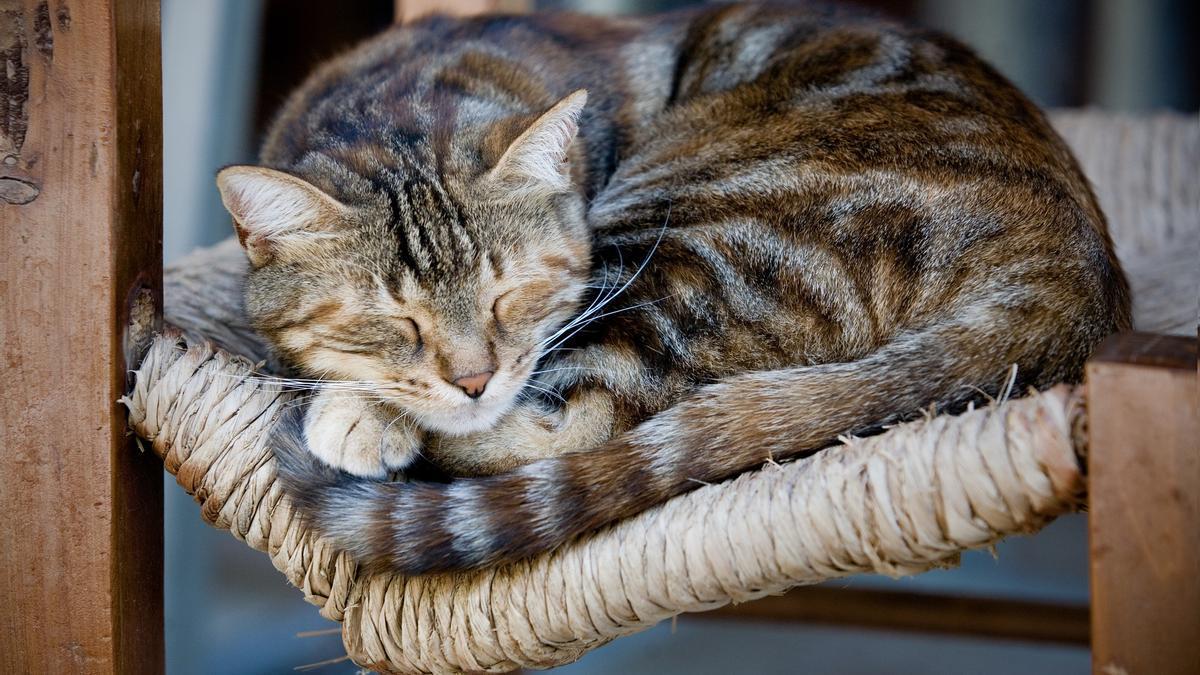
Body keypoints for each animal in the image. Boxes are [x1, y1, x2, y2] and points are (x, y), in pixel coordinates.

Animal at [218, 1, 1132, 571]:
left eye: (510, 295)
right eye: (394, 320)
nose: (474, 378)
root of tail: (1073, 266)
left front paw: (363, 411)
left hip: (686, 232)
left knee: (585, 423)